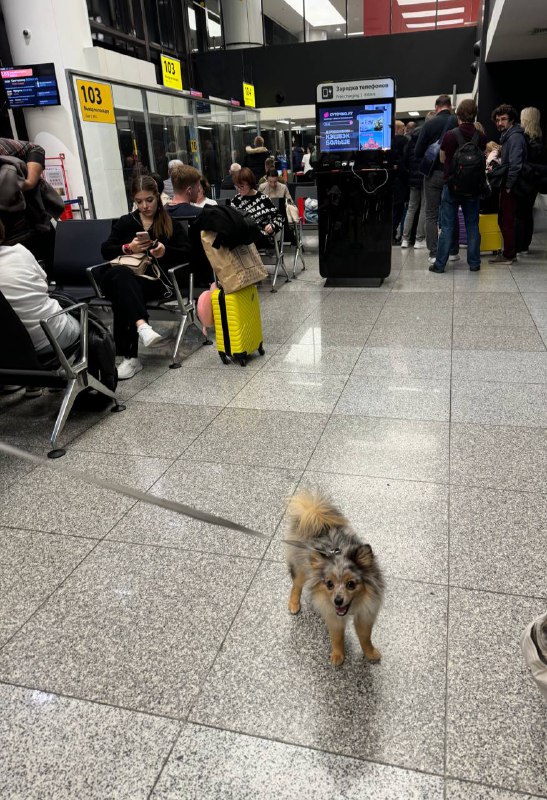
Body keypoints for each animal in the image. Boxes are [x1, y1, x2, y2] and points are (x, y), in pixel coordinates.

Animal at [286, 490, 386, 664]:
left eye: (351, 584)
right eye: (329, 584)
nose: (337, 600)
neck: (352, 607)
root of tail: (314, 515)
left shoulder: (366, 613)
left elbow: (365, 637)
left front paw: (370, 653)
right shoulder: (333, 615)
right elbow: (337, 637)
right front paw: (338, 656)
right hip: (301, 568)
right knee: (296, 585)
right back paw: (294, 604)